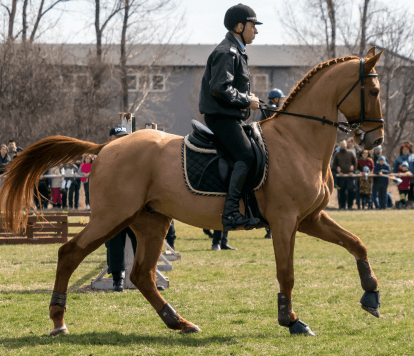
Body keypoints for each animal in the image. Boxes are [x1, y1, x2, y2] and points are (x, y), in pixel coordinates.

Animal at [0, 47, 384, 336]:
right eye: (375, 92)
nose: (375, 140)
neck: (298, 140)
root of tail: (107, 147)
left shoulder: (310, 218)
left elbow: (357, 243)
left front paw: (372, 295)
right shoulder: (286, 221)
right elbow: (286, 271)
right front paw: (291, 320)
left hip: (150, 221)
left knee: (142, 274)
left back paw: (178, 322)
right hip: (111, 217)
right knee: (70, 254)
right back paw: (58, 321)